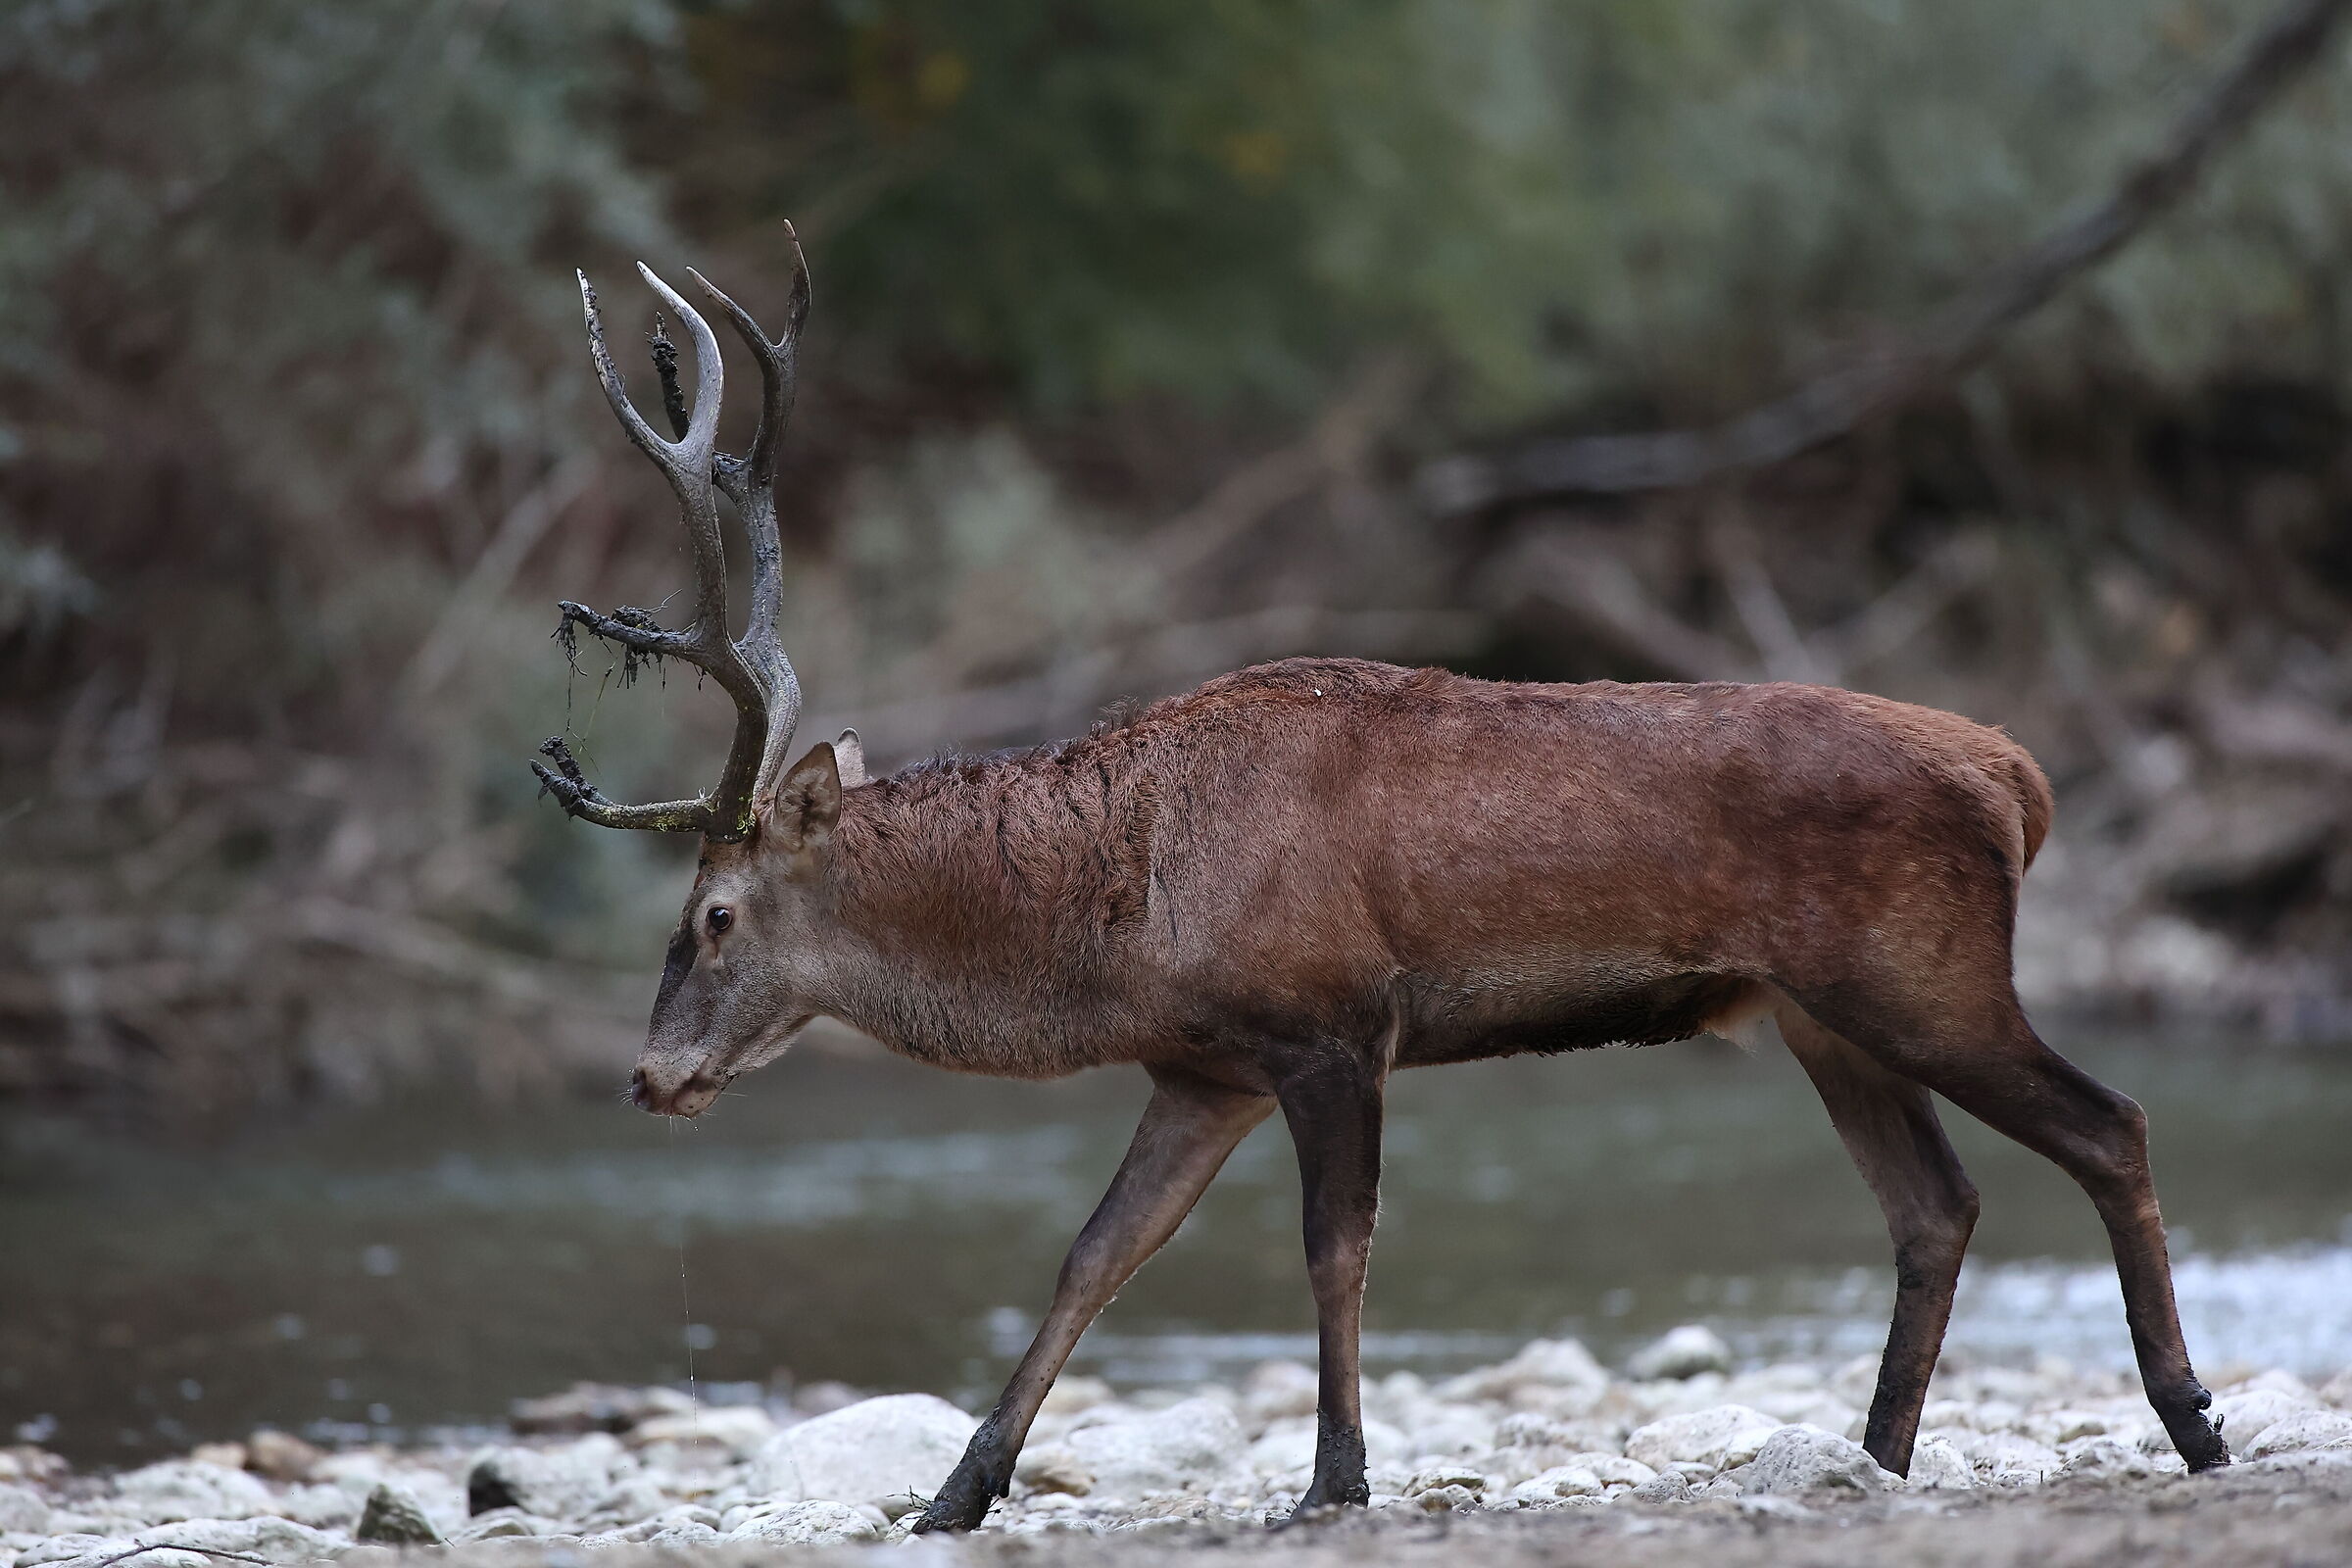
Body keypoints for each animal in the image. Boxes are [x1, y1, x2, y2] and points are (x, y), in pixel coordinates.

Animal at [533, 248, 2232, 1530]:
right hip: (1825, 1012)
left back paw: (2190, 1421)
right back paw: (1872, 1459)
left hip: (1925, 971)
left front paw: (1335, 1480)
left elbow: (1333, 1252)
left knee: (2110, 1122)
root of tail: (2018, 774)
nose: (649, 1073)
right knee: (1936, 1205)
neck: (1123, 920)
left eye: (713, 917)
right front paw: (956, 1496)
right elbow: (1093, 1254)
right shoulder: (1203, 1066)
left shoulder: (1333, 1022)